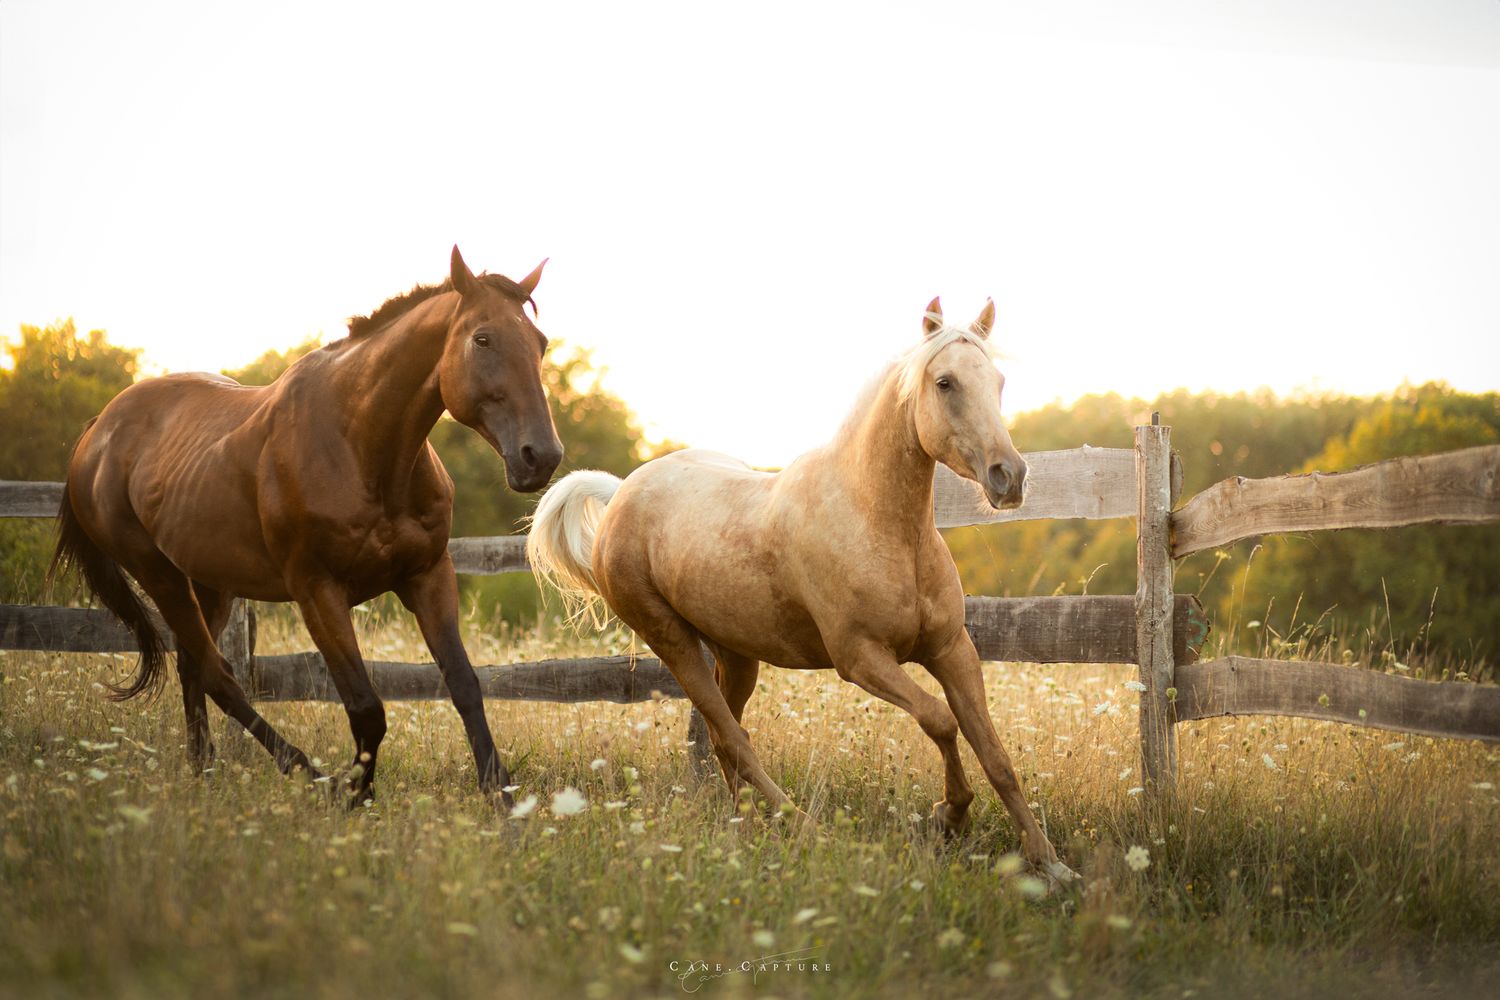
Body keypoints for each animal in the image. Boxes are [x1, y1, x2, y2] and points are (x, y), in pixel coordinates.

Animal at [51, 246, 562, 806]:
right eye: (482, 338)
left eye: (540, 343)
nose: (541, 456)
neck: (360, 446)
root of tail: (98, 431)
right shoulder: (318, 592)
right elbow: (366, 707)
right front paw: (355, 796)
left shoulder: (428, 576)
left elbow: (465, 685)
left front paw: (501, 799)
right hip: (158, 574)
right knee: (217, 673)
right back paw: (305, 771)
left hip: (210, 581)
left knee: (194, 667)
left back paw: (204, 769)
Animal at [526, 298, 1079, 884]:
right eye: (945, 382)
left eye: (998, 381)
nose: (1009, 477)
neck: (877, 522)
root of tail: (621, 493)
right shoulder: (860, 659)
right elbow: (939, 719)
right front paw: (948, 816)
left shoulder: (952, 651)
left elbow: (995, 755)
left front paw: (1051, 865)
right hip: (672, 641)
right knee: (735, 740)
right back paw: (806, 830)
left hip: (736, 654)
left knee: (726, 739)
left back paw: (745, 828)